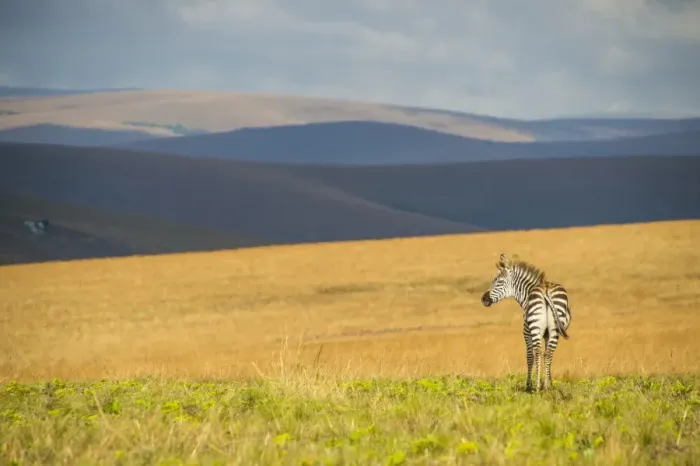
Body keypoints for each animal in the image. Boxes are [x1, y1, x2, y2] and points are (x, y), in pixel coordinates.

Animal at [480, 253, 572, 392]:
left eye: (498, 281)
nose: (483, 299)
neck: (528, 292)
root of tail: (545, 289)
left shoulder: (526, 332)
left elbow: (530, 356)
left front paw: (529, 384)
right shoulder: (546, 334)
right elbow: (547, 355)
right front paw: (549, 382)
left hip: (535, 327)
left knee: (538, 352)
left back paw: (537, 387)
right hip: (554, 329)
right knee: (548, 353)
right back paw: (545, 387)